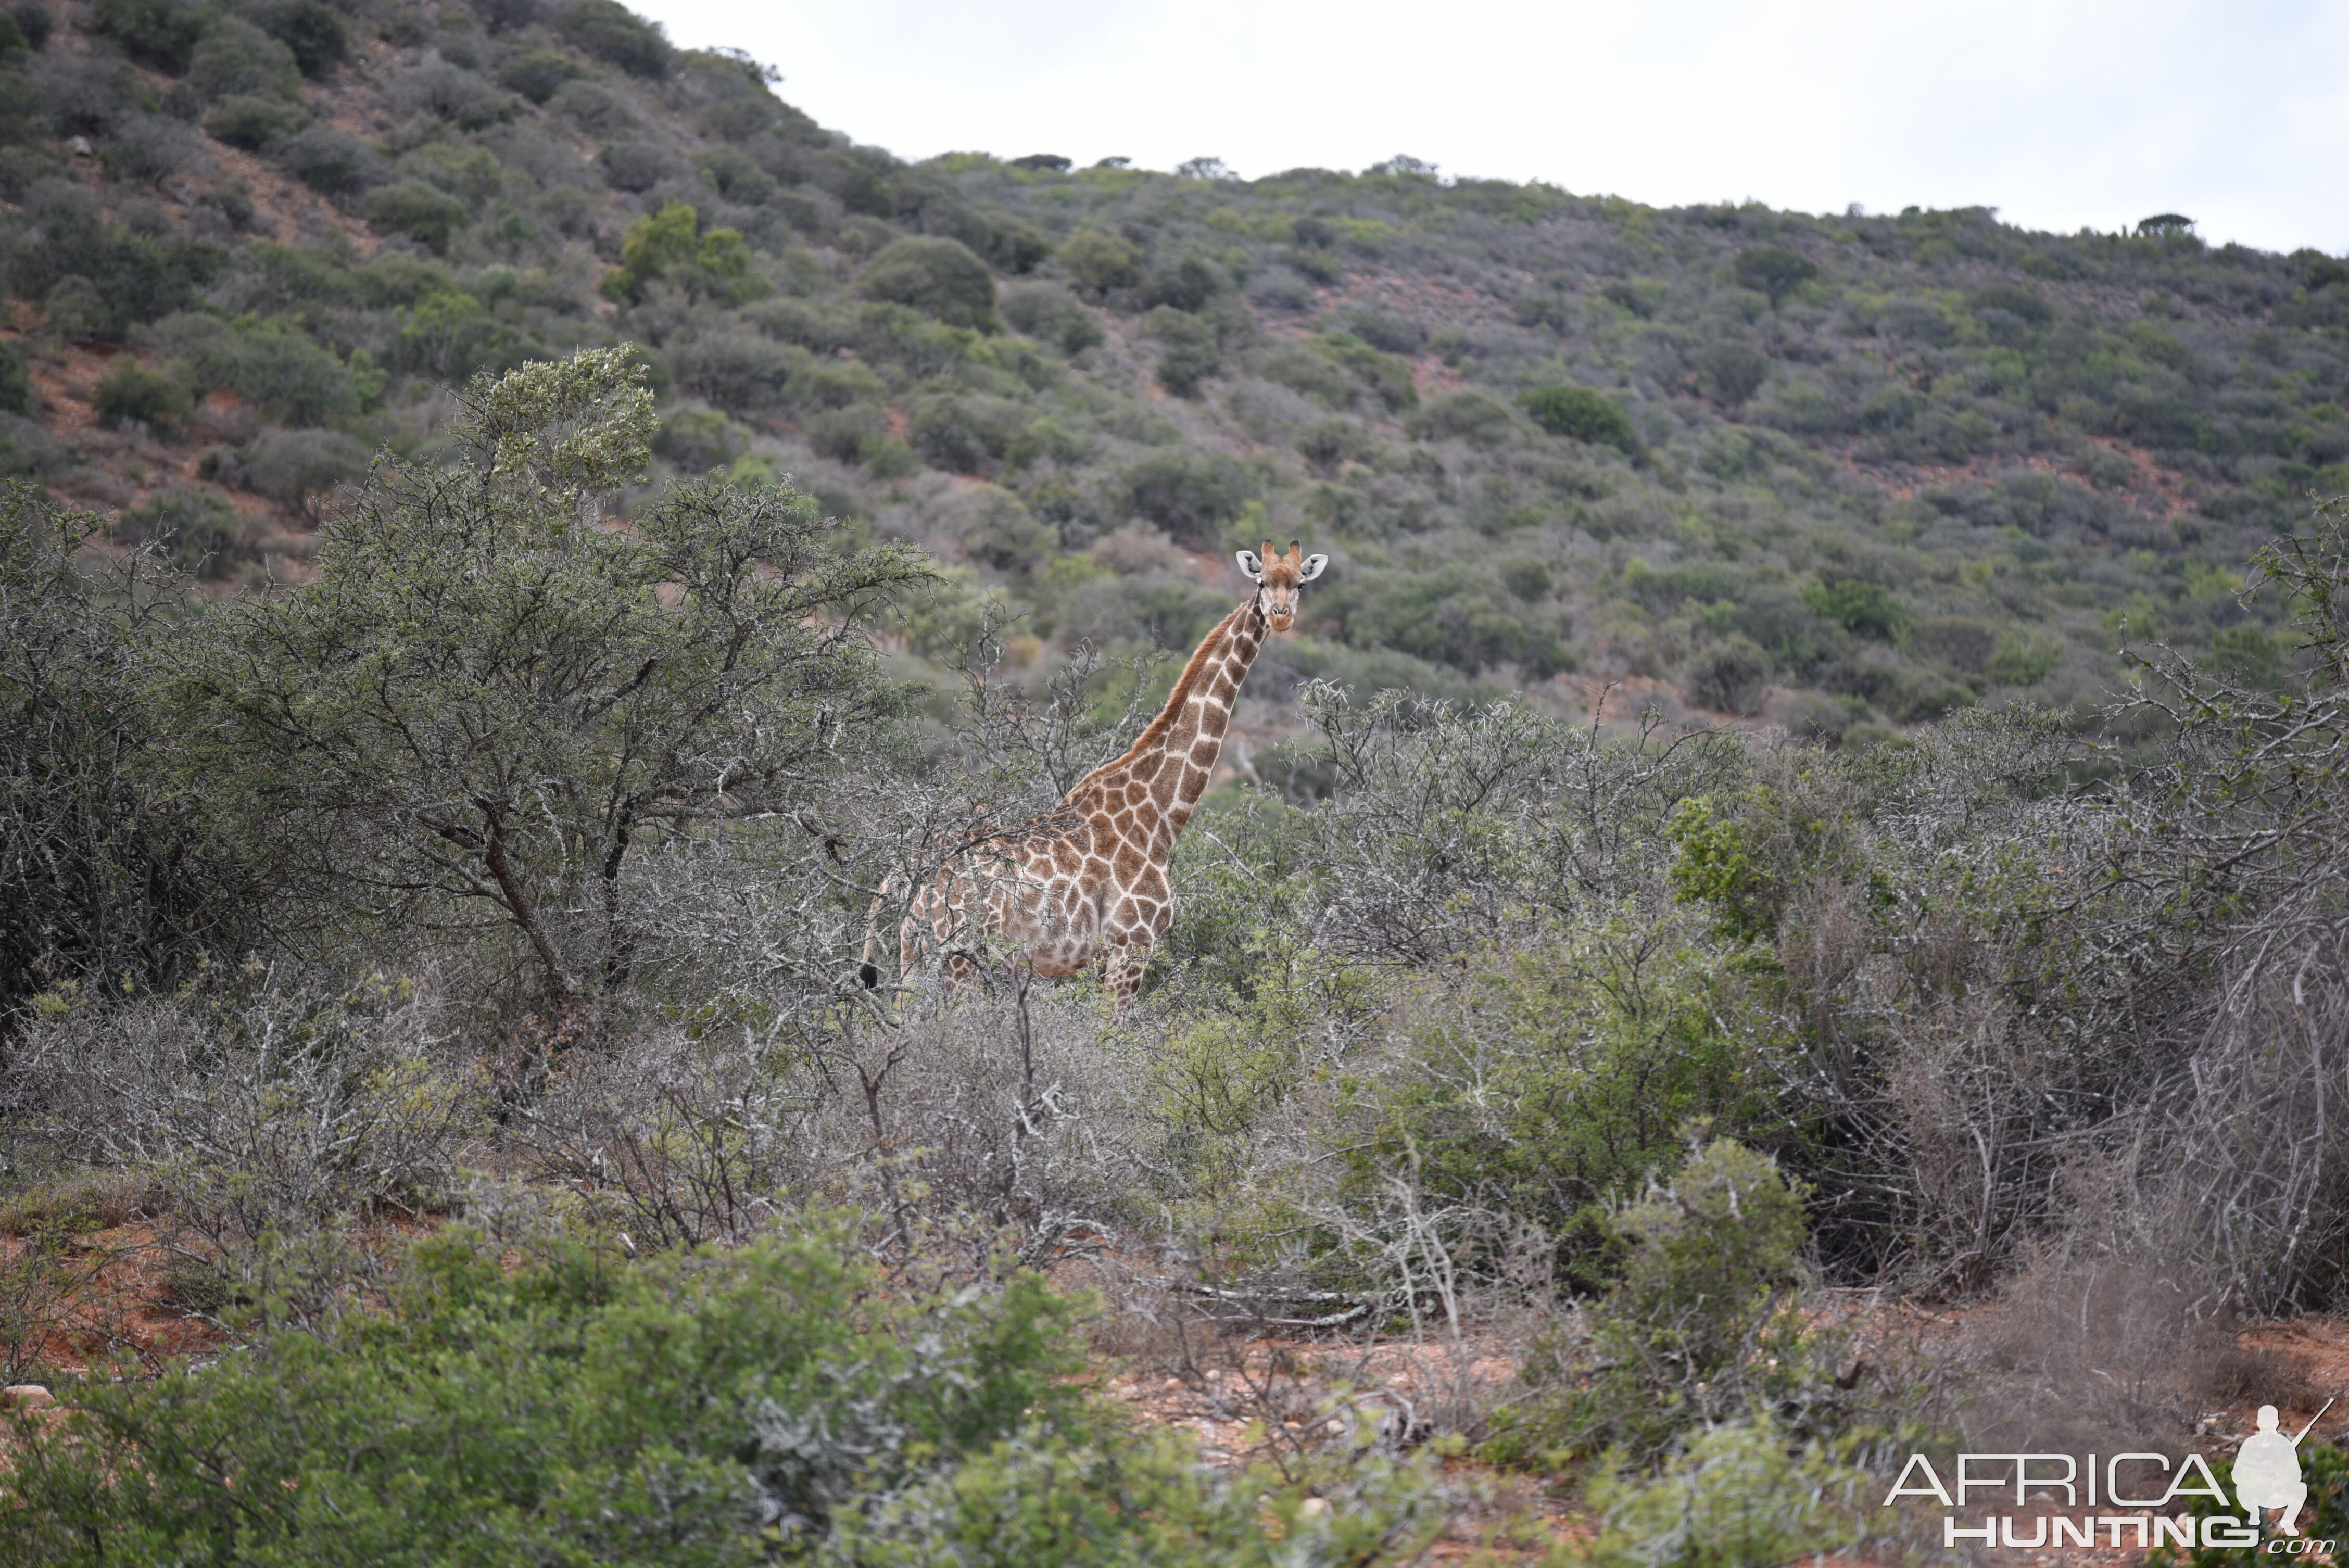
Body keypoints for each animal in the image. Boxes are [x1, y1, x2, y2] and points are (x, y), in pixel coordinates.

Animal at [869, 540, 1343, 1004]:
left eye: (1300, 584)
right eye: (1261, 581)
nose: (1281, 617)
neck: (1160, 816)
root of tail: (905, 876)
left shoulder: (1099, 960)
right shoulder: (1132, 944)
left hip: (913, 950)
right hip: (959, 954)